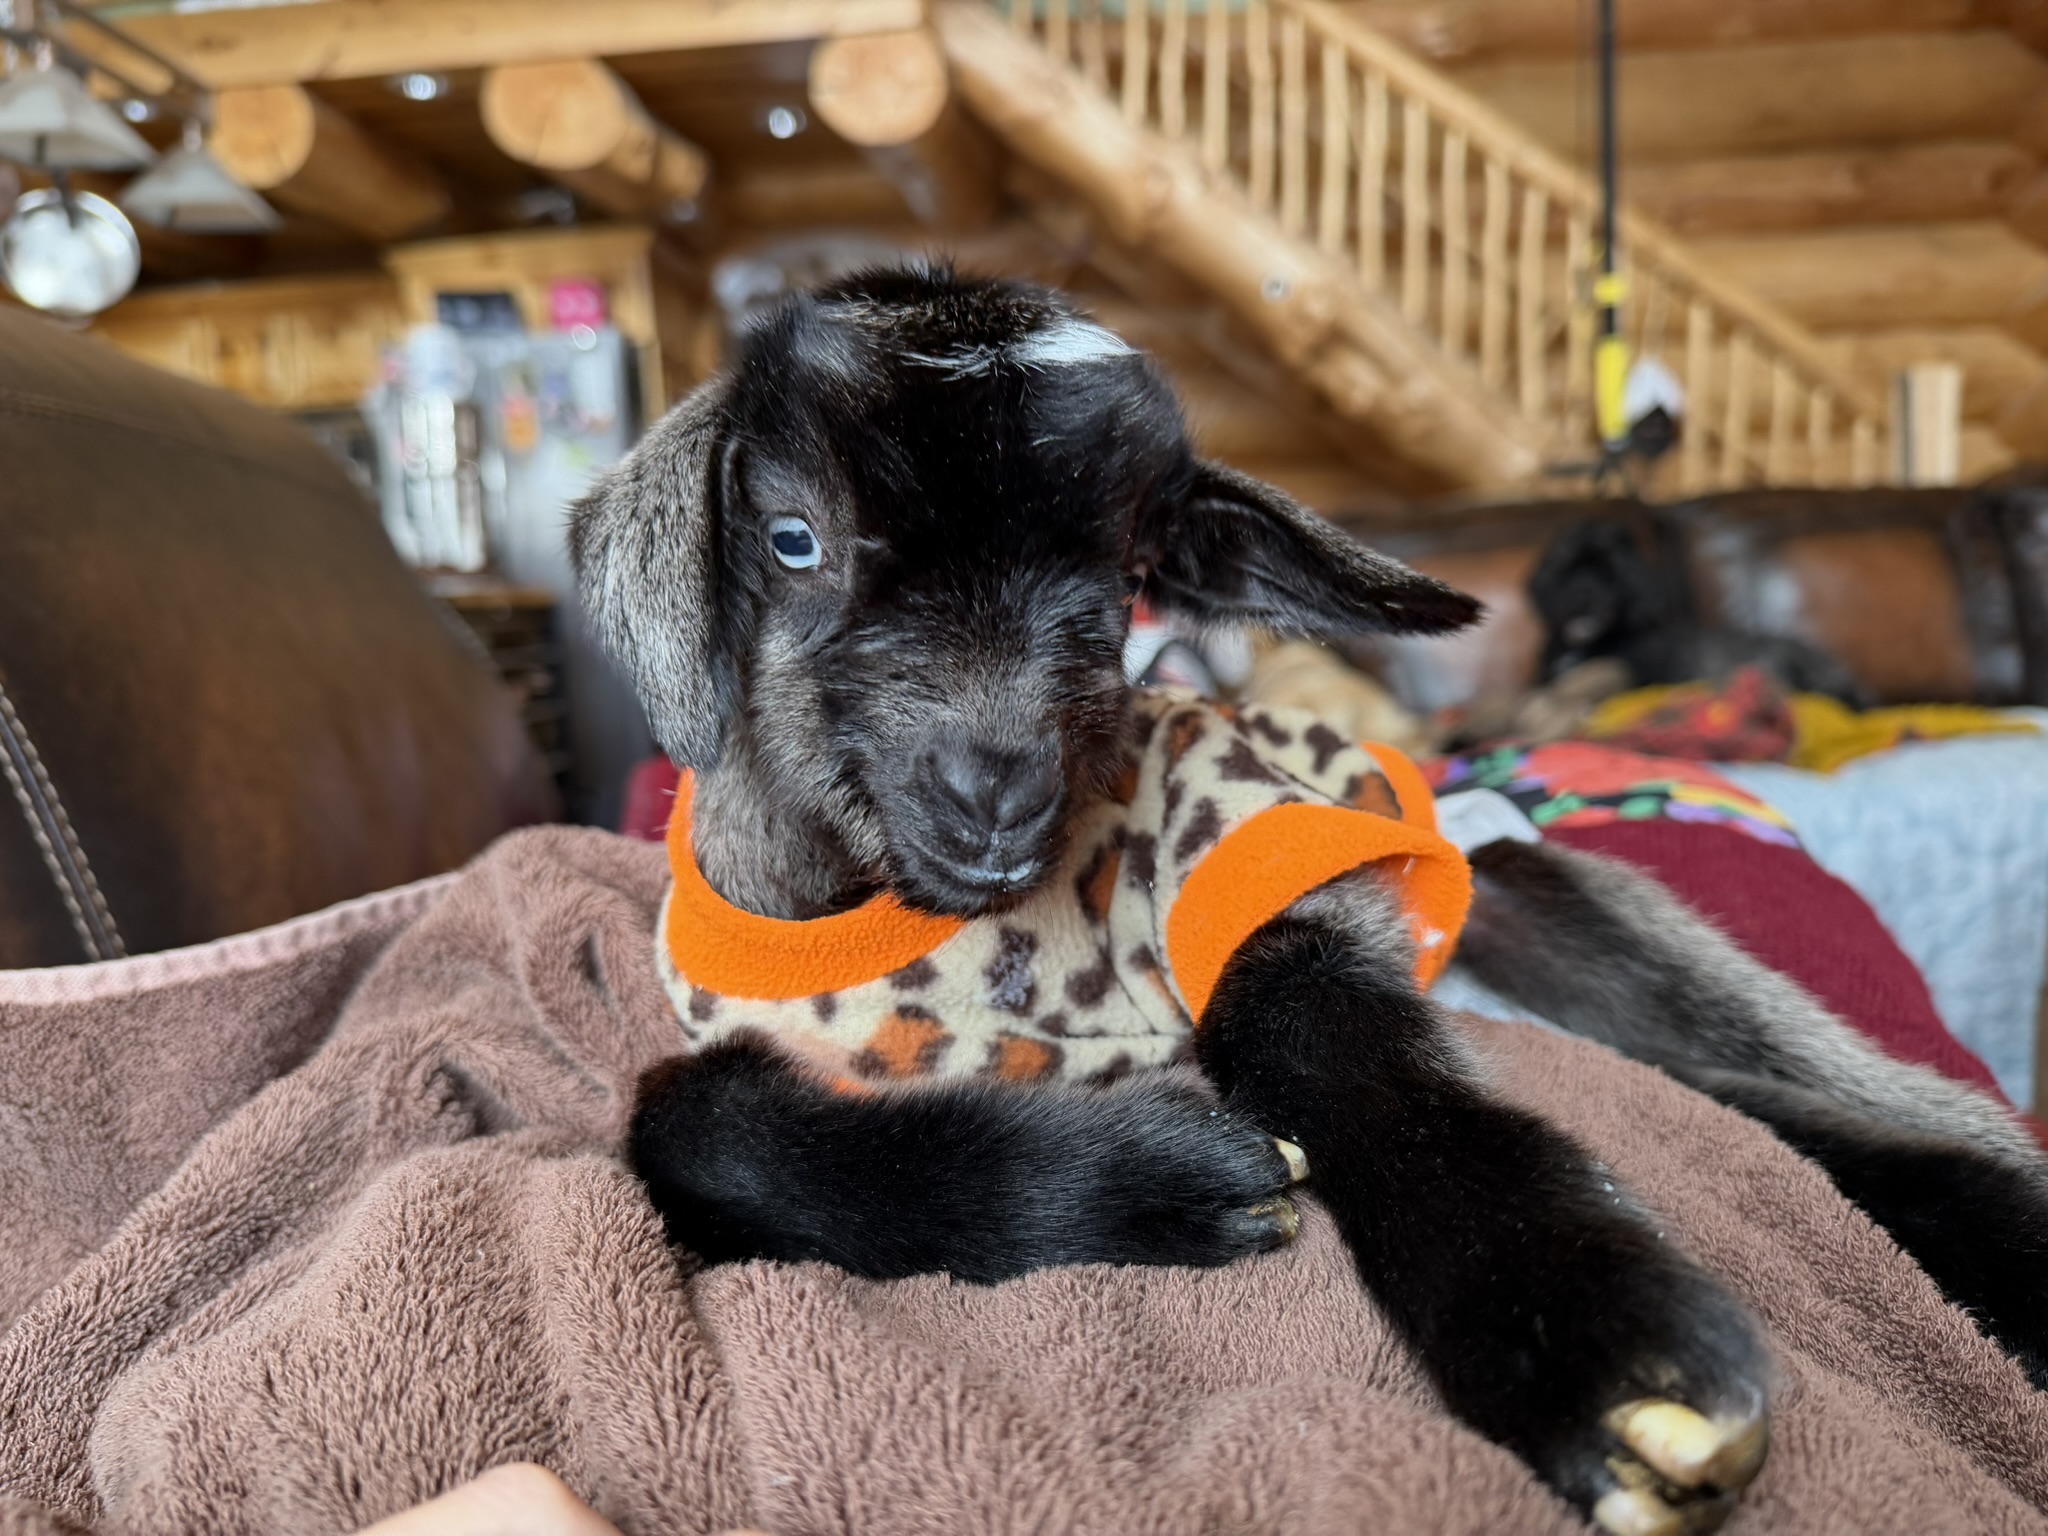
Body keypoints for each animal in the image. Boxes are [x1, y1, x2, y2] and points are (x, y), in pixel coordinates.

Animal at [571, 266, 2048, 1535]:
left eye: (1126, 582)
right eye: (794, 538)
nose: (997, 796)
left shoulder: (1251, 861)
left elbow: (1315, 1030)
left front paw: (1594, 1351)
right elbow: (682, 1132)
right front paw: (1163, 1186)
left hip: (1596, 927)